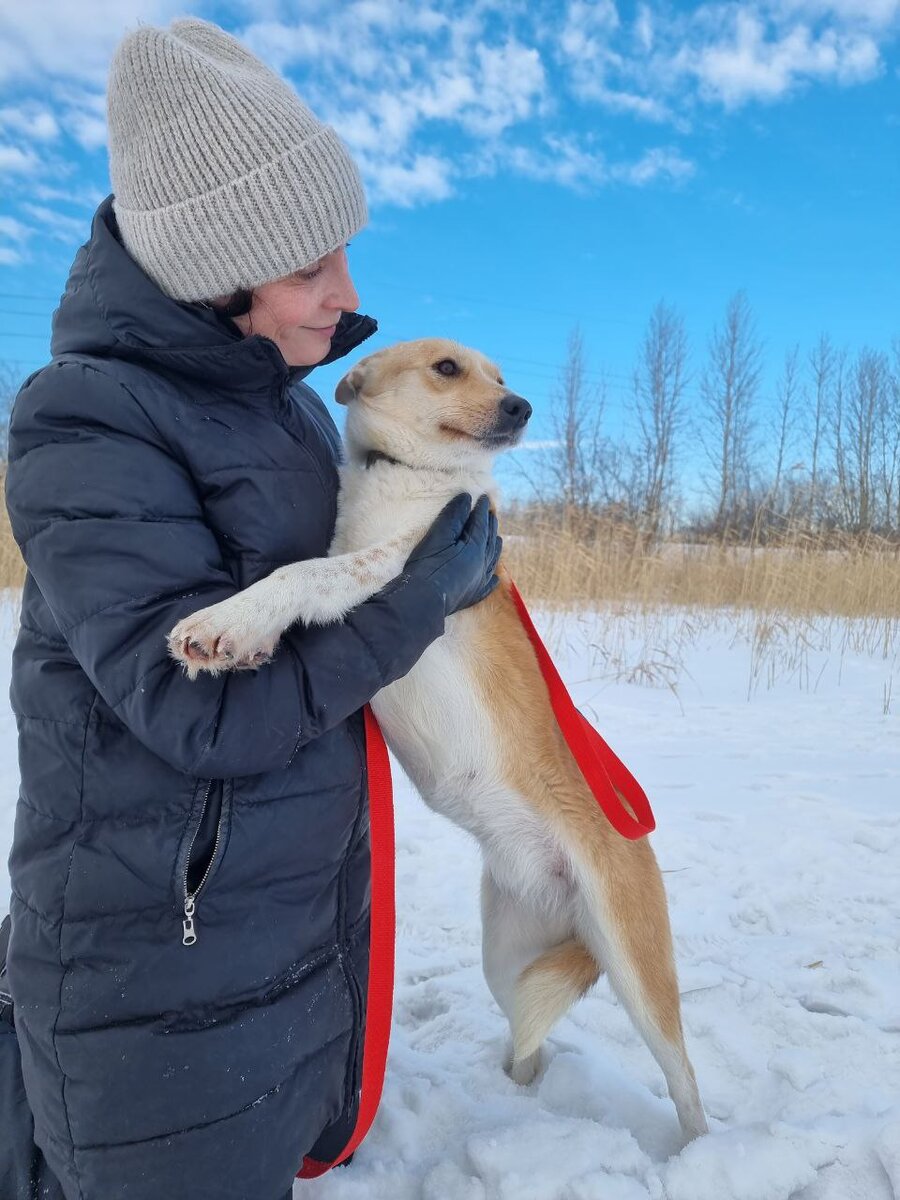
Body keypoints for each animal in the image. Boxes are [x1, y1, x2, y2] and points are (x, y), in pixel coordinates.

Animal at [165, 338, 710, 1142]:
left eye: (503, 378)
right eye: (449, 368)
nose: (521, 407)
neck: (407, 475)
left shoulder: (401, 563)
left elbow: (304, 572)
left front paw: (228, 622)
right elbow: (310, 568)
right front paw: (247, 639)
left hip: (635, 965)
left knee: (684, 1079)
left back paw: (695, 1148)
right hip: (508, 957)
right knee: (530, 1041)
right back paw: (517, 1097)